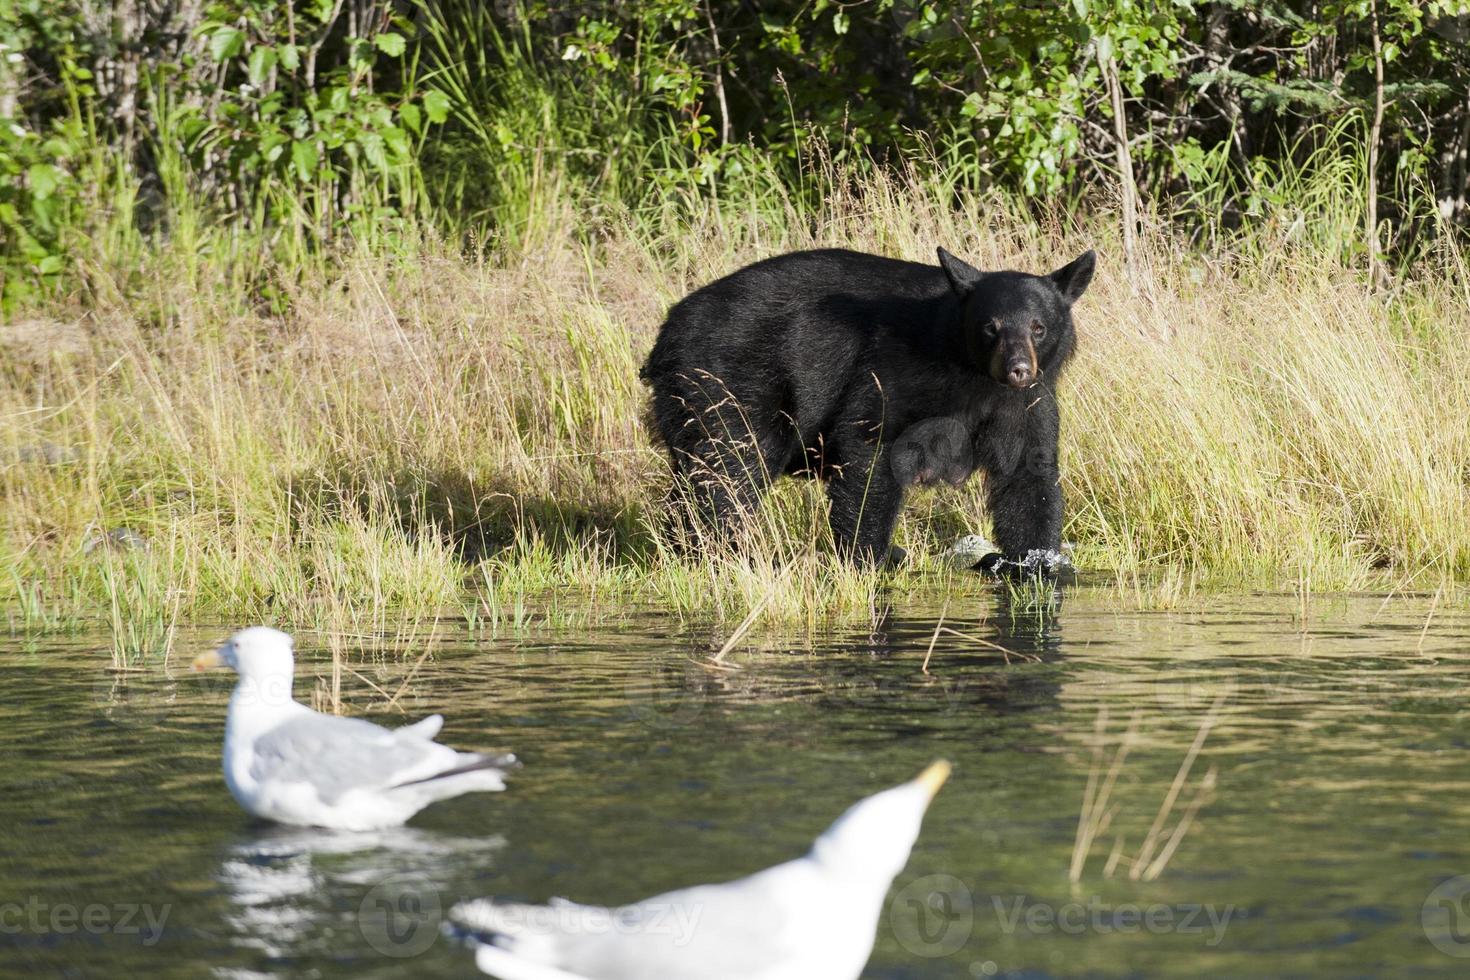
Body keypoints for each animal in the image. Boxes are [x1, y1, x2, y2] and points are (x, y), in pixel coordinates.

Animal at [640, 243, 1093, 567]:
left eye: (1038, 327)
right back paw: (721, 550)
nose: (1017, 369)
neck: (974, 375)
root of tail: (666, 335)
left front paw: (1038, 560)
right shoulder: (895, 368)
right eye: (990, 327)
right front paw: (870, 554)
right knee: (732, 466)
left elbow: (1027, 476)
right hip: (730, 379)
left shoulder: (1028, 402)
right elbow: (870, 447)